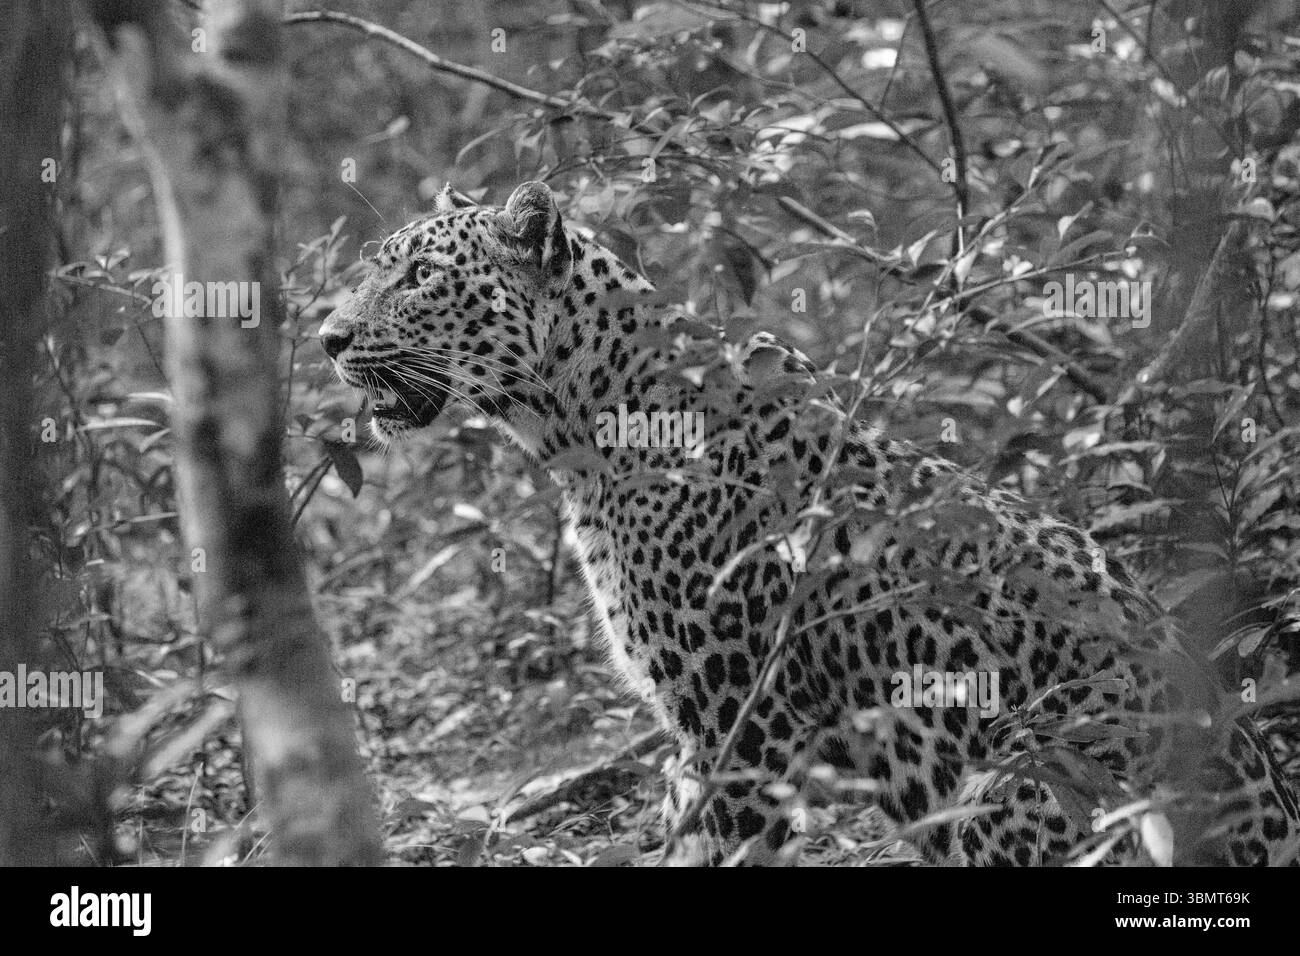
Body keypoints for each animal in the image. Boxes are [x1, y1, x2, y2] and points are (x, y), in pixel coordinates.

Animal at [319, 180, 1300, 866]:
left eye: (420, 276)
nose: (326, 339)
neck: (577, 428)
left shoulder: (739, 723)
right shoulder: (700, 735)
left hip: (1017, 774)